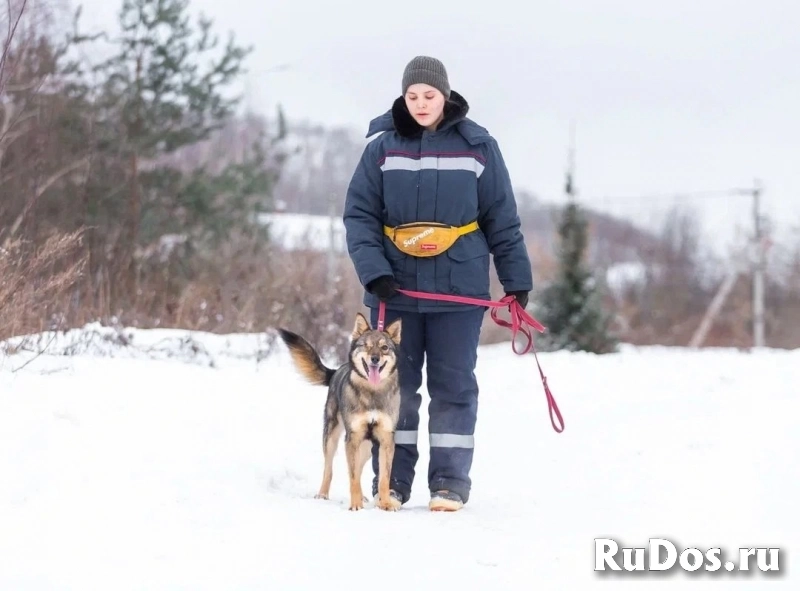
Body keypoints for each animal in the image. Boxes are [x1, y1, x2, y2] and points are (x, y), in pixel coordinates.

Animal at [278, 314, 404, 512]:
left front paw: (385, 504)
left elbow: (384, 478)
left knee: (358, 469)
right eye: (366, 345)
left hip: (366, 447)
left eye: (384, 347)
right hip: (332, 437)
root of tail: (337, 370)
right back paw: (323, 494)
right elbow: (352, 478)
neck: (373, 393)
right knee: (328, 470)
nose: (375, 359)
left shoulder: (386, 439)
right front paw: (355, 505)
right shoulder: (352, 437)